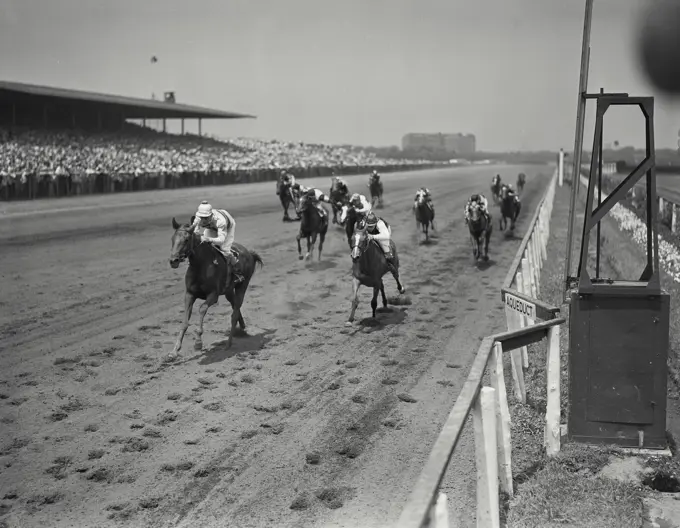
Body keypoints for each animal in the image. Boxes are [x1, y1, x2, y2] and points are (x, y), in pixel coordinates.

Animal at [169, 217, 264, 356]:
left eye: (186, 240)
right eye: (172, 239)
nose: (173, 261)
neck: (201, 265)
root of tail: (250, 253)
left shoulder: (213, 295)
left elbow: (202, 309)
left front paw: (198, 342)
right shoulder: (189, 294)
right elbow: (185, 322)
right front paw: (175, 350)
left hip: (242, 286)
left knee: (234, 313)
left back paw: (228, 344)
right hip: (229, 291)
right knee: (235, 307)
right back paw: (242, 329)